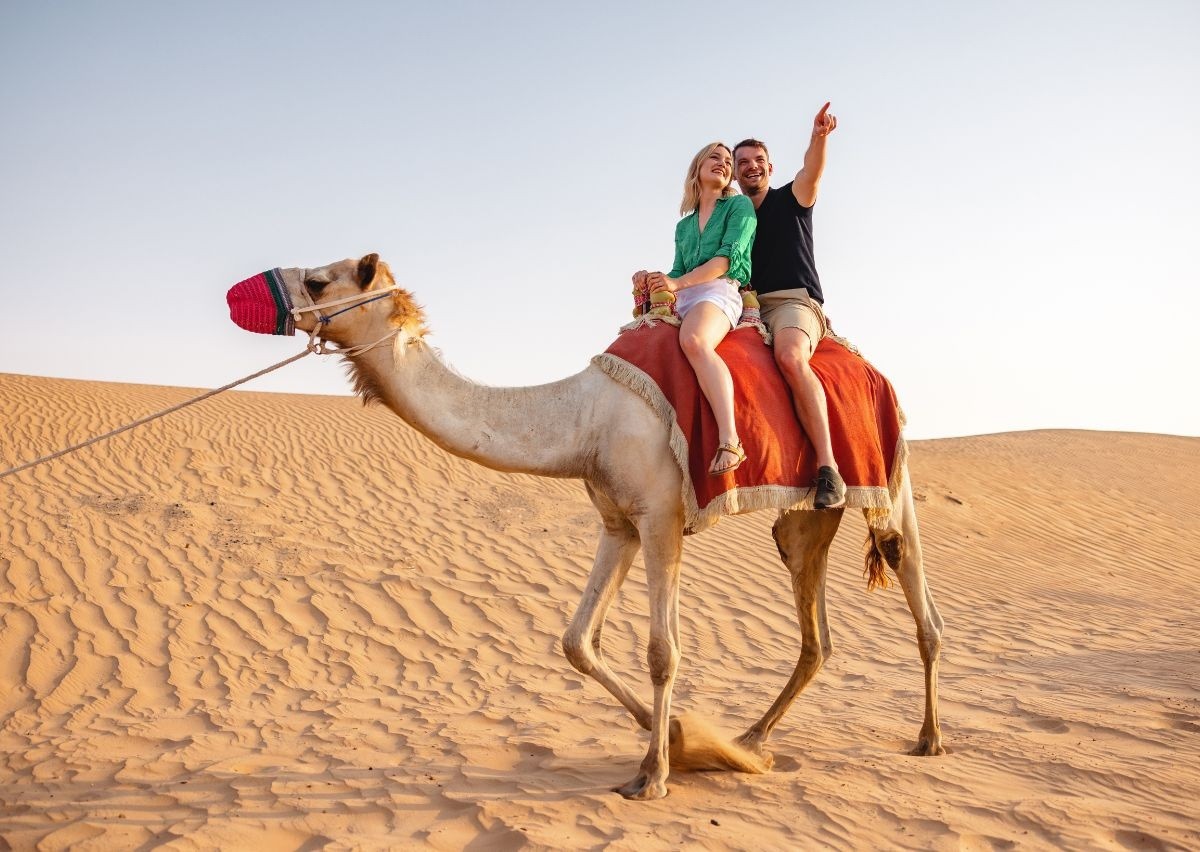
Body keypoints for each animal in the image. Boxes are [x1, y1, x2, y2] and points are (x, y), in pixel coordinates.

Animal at [258, 253, 945, 800]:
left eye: (318, 281)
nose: (269, 296)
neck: (584, 418)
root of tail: (873, 370)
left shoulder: (662, 517)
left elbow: (663, 651)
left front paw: (655, 774)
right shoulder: (618, 523)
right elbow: (575, 641)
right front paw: (679, 737)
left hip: (891, 476)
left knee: (916, 593)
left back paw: (929, 739)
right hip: (804, 520)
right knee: (816, 633)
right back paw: (751, 741)